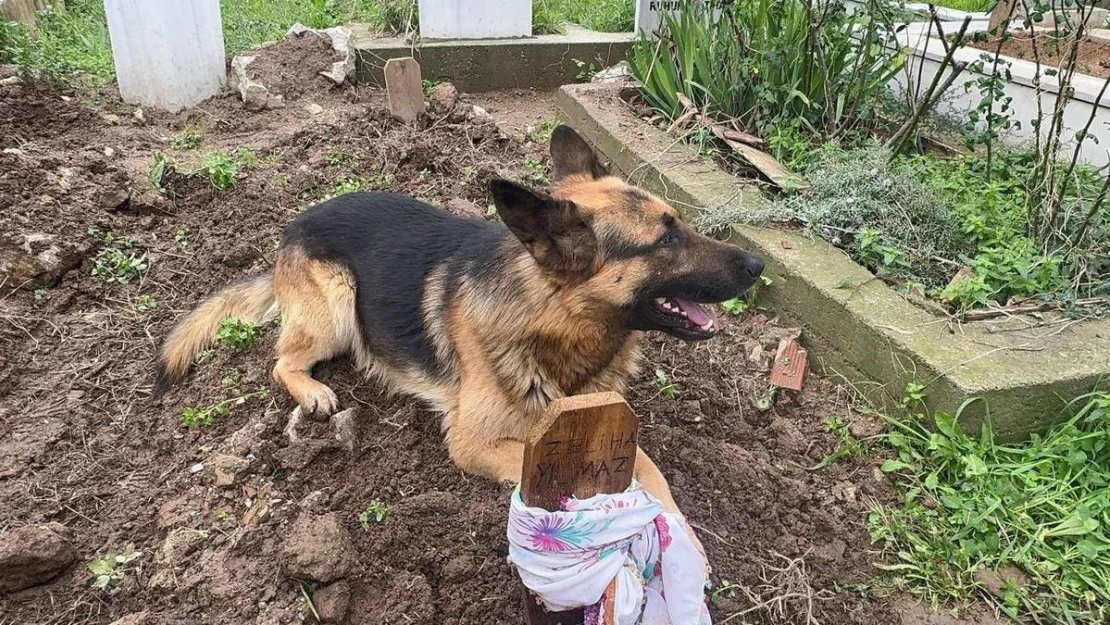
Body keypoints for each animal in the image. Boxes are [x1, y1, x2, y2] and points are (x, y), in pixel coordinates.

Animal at [156, 129, 763, 526]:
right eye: (666, 240)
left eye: (680, 224)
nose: (758, 265)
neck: (552, 319)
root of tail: (295, 223)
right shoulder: (473, 445)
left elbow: (650, 469)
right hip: (335, 308)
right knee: (282, 359)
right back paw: (313, 391)